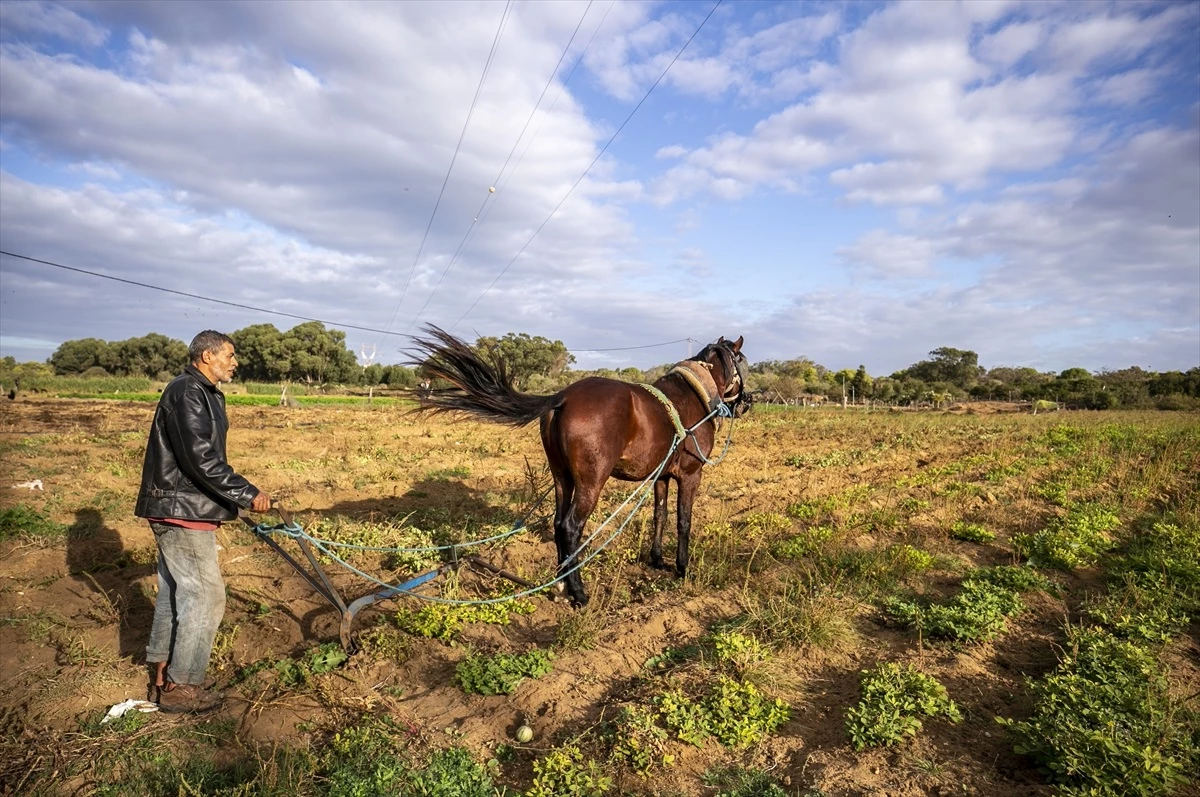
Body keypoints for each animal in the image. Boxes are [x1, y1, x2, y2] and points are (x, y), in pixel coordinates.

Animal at [412, 324, 748, 604]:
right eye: (741, 360)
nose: (747, 401)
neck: (693, 398)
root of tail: (561, 397)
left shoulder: (661, 477)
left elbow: (660, 516)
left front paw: (656, 559)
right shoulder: (691, 475)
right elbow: (683, 521)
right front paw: (682, 568)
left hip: (562, 478)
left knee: (558, 523)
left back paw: (561, 583)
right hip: (591, 482)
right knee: (571, 527)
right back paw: (578, 592)